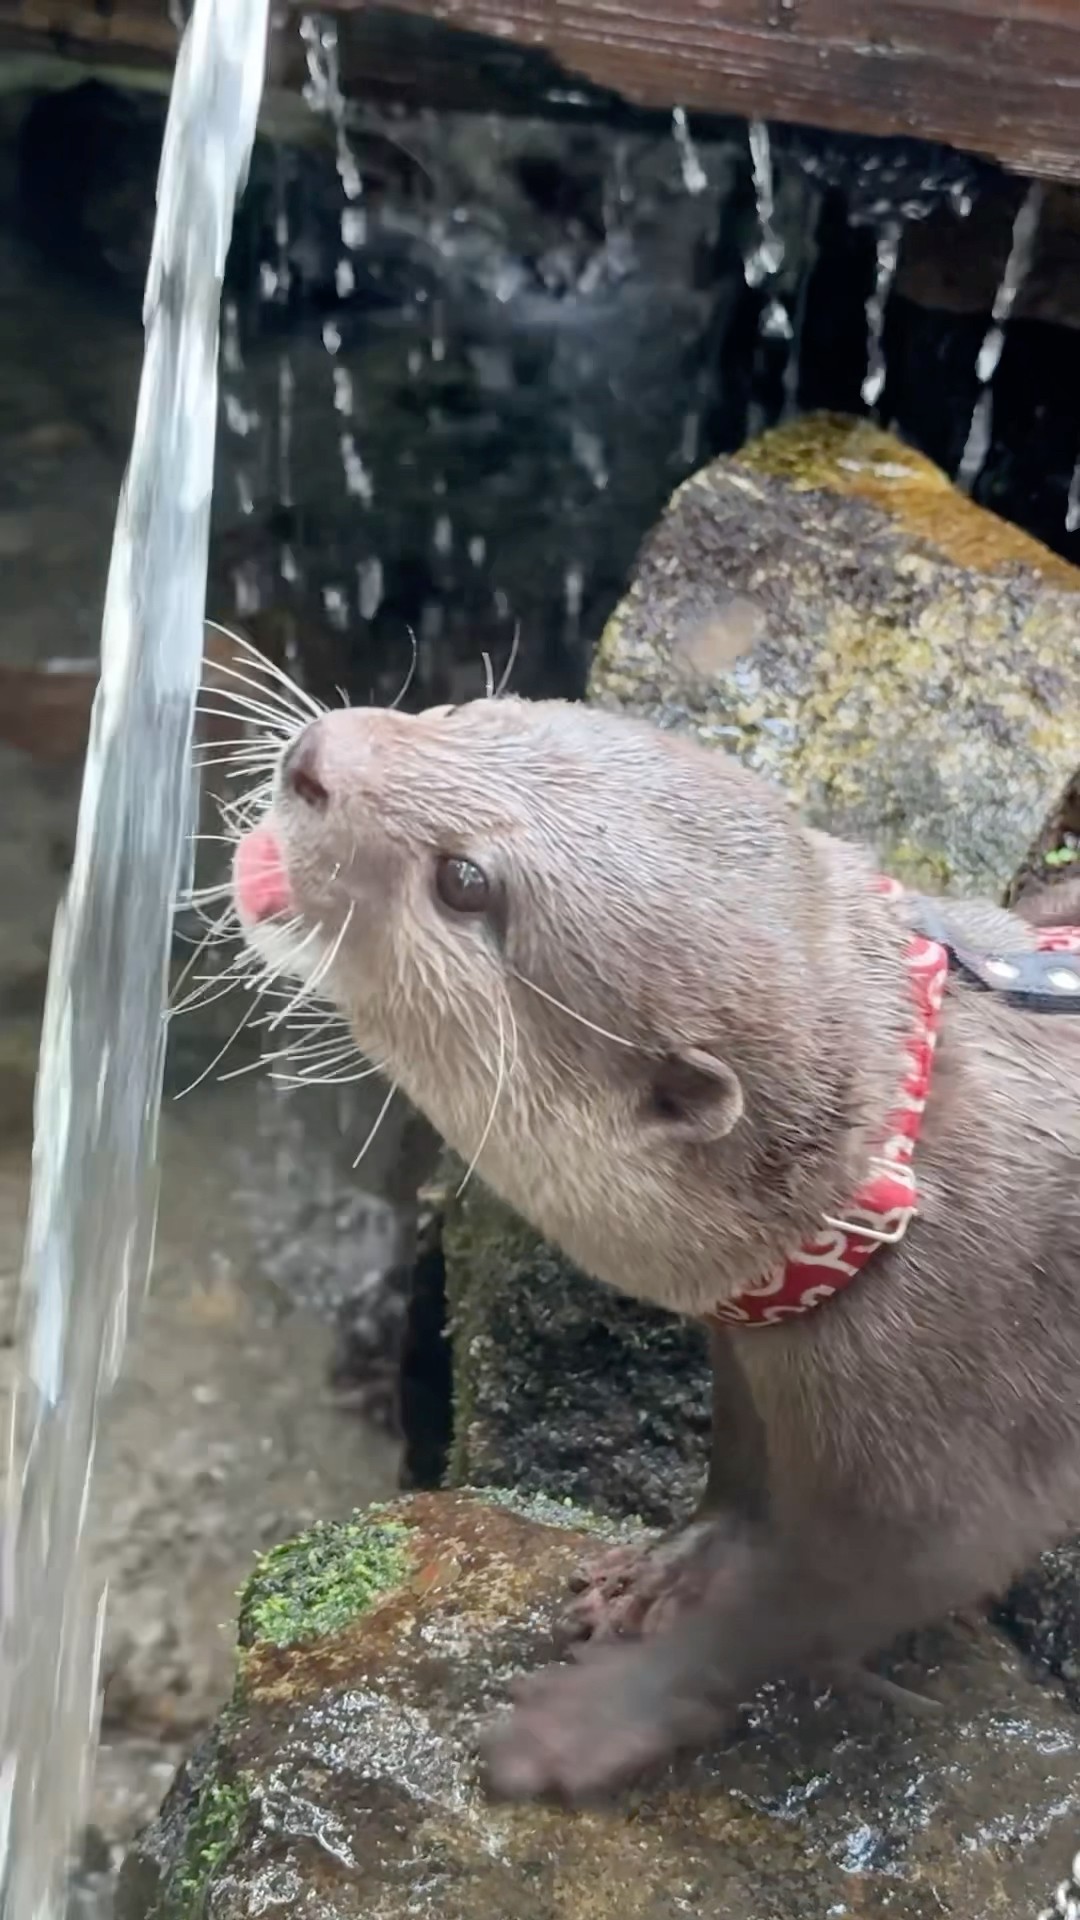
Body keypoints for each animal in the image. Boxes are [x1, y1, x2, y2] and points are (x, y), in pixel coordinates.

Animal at [230, 693, 1080, 1803]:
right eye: (464, 708)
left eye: (465, 882)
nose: (313, 755)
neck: (891, 1200)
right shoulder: (748, 1333)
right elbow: (740, 1464)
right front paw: (674, 1561)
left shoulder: (959, 1431)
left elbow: (821, 1602)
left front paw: (589, 1720)